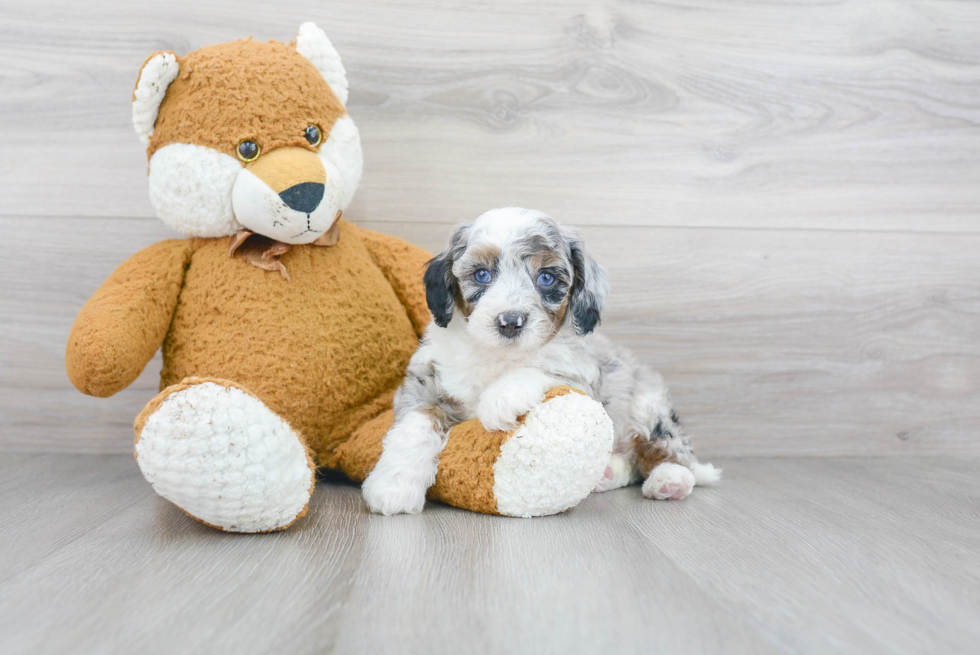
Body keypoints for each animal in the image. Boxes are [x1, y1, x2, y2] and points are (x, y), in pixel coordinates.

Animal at [362, 208, 720, 516]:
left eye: (546, 278)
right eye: (482, 274)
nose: (510, 321)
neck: (498, 356)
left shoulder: (583, 376)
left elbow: (541, 367)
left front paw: (499, 399)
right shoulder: (426, 377)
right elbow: (416, 423)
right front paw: (394, 486)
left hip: (647, 406)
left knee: (665, 450)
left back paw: (669, 480)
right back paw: (606, 473)